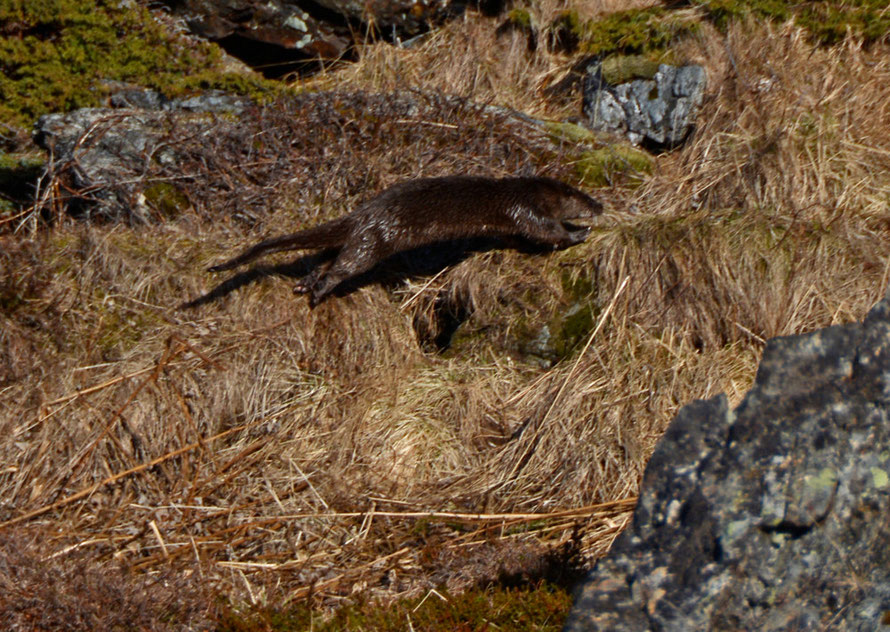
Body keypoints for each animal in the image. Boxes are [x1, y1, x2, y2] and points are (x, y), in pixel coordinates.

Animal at [206, 175, 604, 306]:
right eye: (583, 198)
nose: (600, 205)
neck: (521, 191)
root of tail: (362, 213)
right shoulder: (524, 210)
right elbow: (545, 232)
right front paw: (578, 233)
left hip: (358, 239)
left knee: (328, 256)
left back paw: (306, 283)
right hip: (372, 242)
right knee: (343, 265)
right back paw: (320, 291)